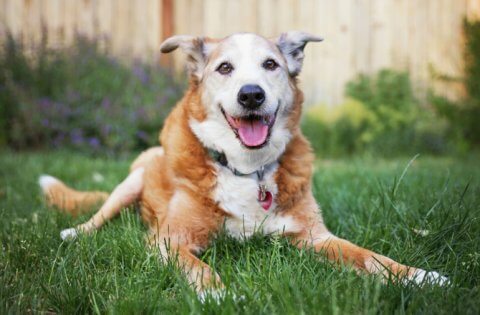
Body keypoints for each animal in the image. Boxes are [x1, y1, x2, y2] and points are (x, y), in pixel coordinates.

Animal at [39, 32, 448, 302]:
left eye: (270, 64)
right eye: (224, 68)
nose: (251, 94)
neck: (249, 170)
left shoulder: (315, 237)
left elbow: (369, 257)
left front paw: (419, 275)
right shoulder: (169, 241)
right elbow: (197, 266)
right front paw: (216, 294)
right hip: (132, 181)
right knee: (100, 214)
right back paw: (75, 233)